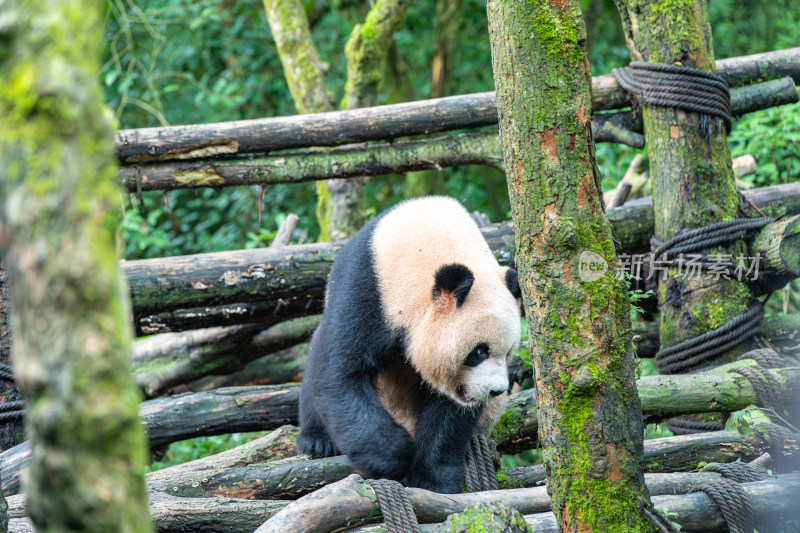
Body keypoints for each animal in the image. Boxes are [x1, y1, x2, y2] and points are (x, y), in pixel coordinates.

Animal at [296, 196, 520, 494]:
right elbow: (341, 372)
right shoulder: (366, 290)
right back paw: (316, 440)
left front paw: (434, 481)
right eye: (479, 351)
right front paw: (392, 457)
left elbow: (449, 413)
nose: (496, 390)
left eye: (507, 353)